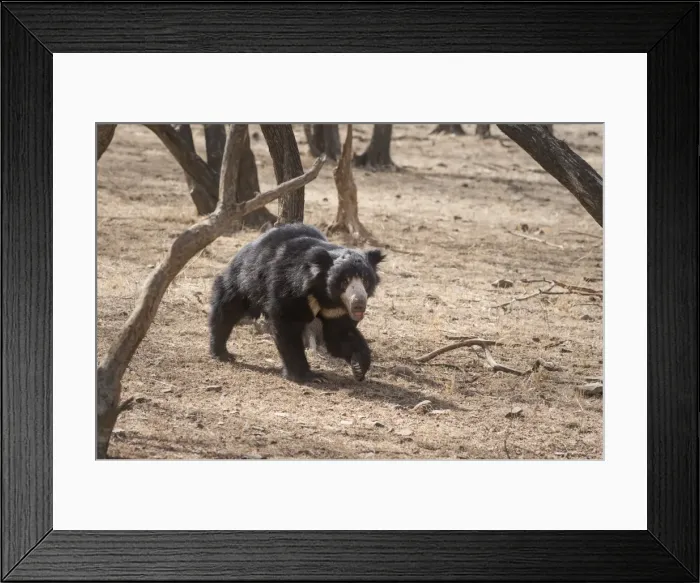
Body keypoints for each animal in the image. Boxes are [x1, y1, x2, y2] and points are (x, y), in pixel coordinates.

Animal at [208, 223, 384, 384]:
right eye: (344, 281)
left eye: (366, 280)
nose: (358, 304)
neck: (323, 295)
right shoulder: (290, 289)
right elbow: (288, 328)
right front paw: (309, 376)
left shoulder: (337, 310)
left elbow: (339, 334)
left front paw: (359, 366)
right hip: (246, 279)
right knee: (226, 308)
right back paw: (222, 352)